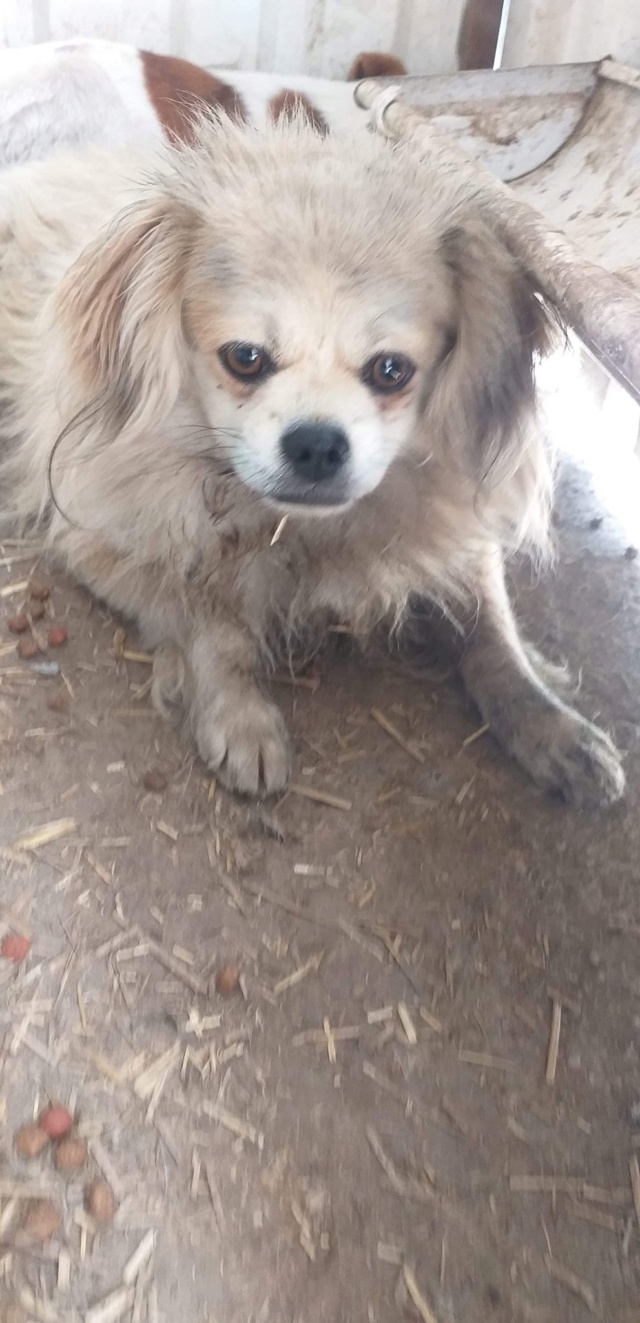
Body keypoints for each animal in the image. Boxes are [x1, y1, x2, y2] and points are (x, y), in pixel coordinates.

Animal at [0, 111, 621, 804]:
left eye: (391, 371)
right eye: (245, 358)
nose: (317, 443)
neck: (297, 529)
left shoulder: (458, 536)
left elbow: (494, 634)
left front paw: (550, 724)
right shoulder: (108, 549)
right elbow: (211, 624)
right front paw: (240, 716)